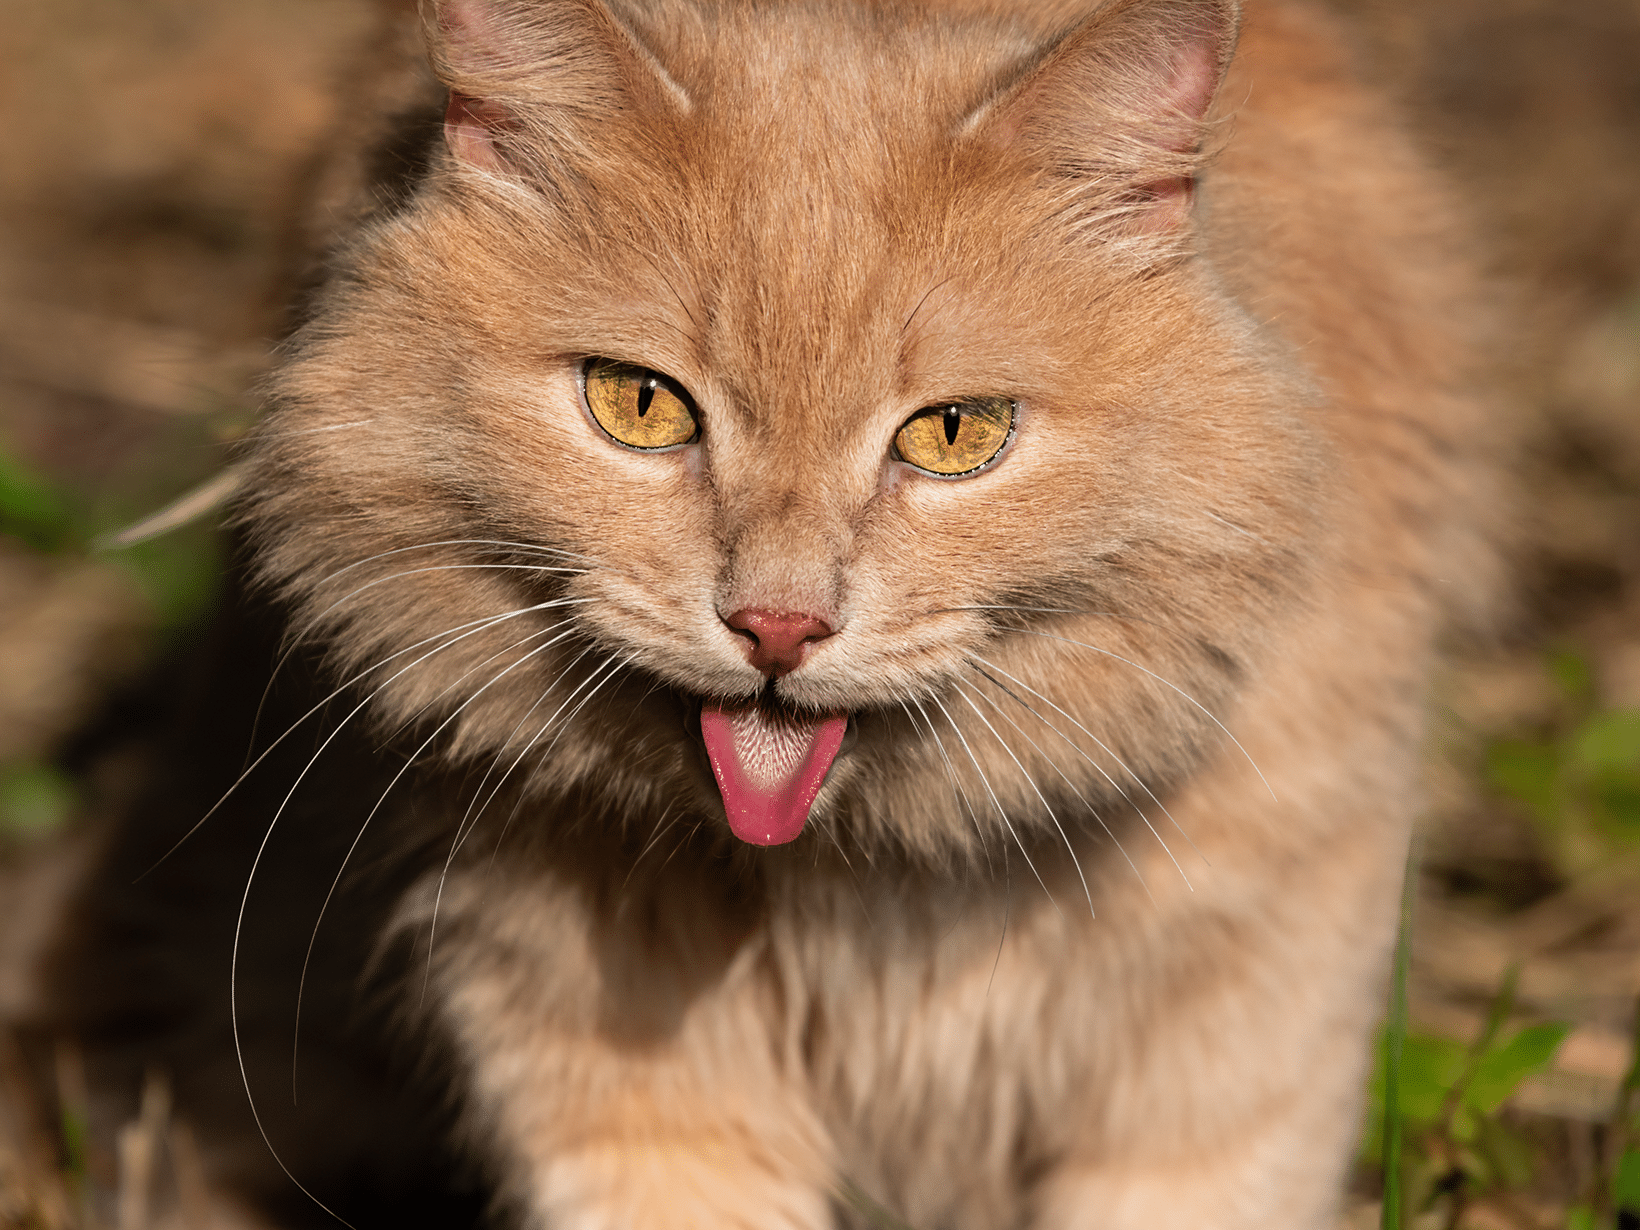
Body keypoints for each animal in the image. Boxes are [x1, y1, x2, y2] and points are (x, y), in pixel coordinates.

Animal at [41, 0, 1502, 1226]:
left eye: (957, 435)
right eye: (637, 405)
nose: (778, 627)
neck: (870, 885)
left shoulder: (1234, 1038)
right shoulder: (604, 1064)